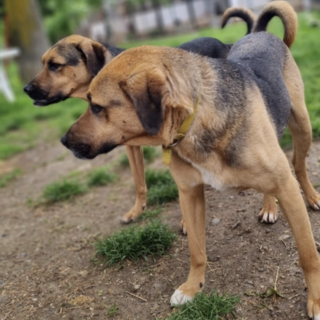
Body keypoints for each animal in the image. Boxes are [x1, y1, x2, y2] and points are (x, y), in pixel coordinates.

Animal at [60, 21, 320, 316]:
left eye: (96, 106)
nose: (64, 141)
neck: (195, 122)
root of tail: (260, 32)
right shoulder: (190, 192)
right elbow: (196, 252)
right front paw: (192, 288)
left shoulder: (286, 187)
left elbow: (308, 254)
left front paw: (316, 300)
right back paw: (269, 206)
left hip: (302, 127)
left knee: (298, 165)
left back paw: (310, 197)